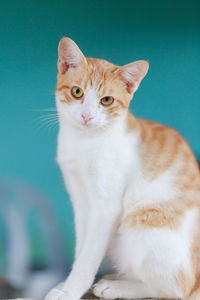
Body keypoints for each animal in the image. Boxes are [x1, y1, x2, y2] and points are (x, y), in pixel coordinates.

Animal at [44, 37, 200, 300]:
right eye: (77, 92)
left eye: (106, 100)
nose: (87, 116)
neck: (84, 143)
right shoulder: (81, 201)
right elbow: (82, 249)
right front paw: (66, 284)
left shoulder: (106, 206)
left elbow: (88, 257)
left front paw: (71, 291)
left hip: (140, 226)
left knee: (176, 290)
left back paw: (118, 287)